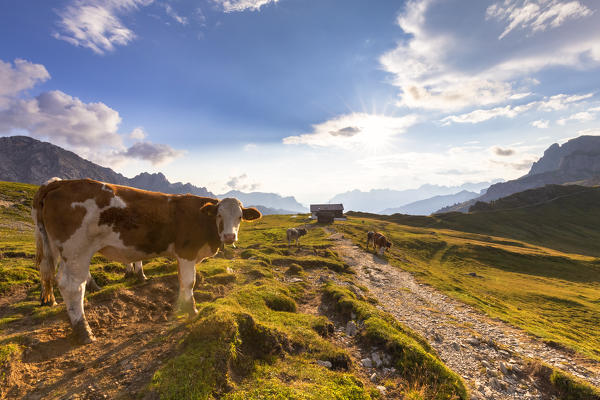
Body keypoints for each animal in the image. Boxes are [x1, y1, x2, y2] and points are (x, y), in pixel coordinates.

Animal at [32, 178, 258, 344]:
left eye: (240, 217)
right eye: (219, 215)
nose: (229, 236)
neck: (202, 218)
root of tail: (61, 183)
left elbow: (181, 281)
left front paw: (181, 308)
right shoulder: (187, 252)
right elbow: (189, 282)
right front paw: (191, 311)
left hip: (59, 250)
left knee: (52, 275)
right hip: (77, 250)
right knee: (72, 286)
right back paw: (84, 330)